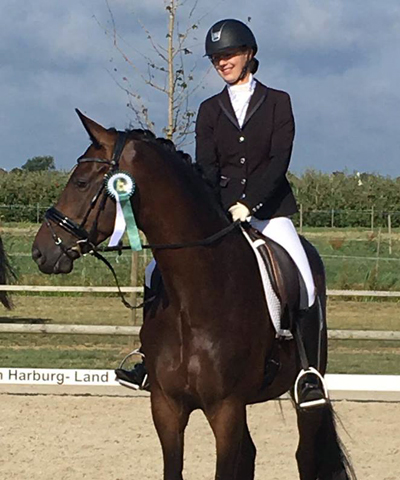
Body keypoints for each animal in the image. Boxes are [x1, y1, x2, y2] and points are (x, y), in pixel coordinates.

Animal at [32, 112, 356, 480]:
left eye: (81, 183)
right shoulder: (167, 406)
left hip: (305, 394)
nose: (40, 251)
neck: (196, 295)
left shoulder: (226, 408)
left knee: (305, 455)